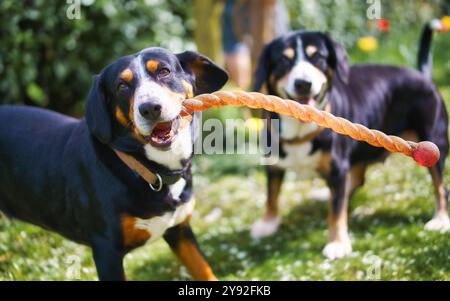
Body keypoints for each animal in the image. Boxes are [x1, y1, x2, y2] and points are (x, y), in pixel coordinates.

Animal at [0, 47, 227, 278]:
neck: (148, 170)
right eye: (122, 86)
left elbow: (203, 269)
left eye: (164, 71)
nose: (150, 108)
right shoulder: (106, 249)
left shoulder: (180, 231)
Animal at [251, 22, 448, 258]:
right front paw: (268, 222)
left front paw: (337, 242)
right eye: (283, 60)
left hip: (434, 141)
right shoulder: (273, 164)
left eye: (317, 57)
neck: (300, 129)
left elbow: (336, 211)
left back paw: (441, 219)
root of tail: (423, 75)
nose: (303, 83)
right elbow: (271, 195)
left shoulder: (338, 169)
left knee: (440, 186)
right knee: (355, 181)